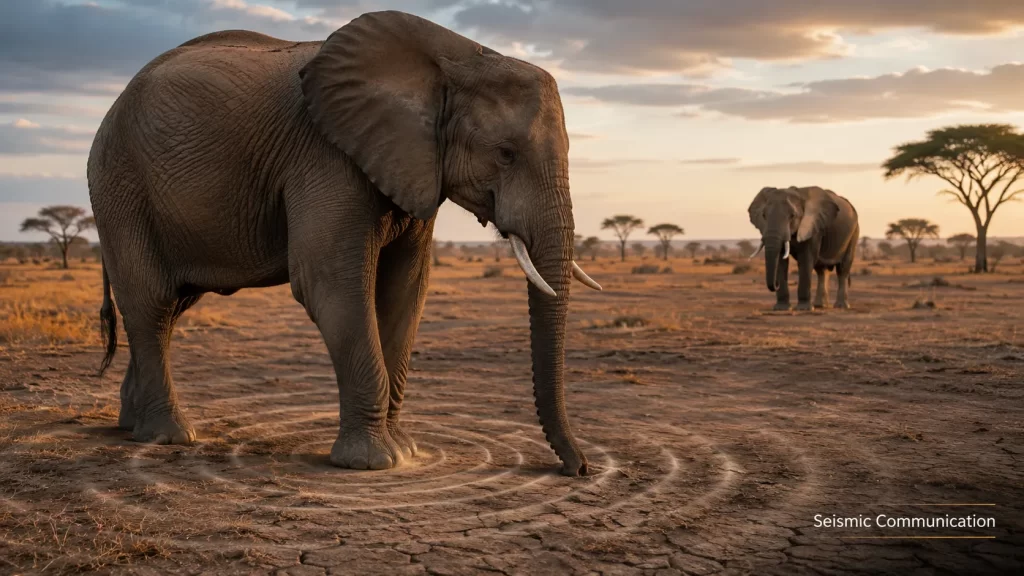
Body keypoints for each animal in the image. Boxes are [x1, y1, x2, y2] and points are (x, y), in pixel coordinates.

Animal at [87, 11, 602, 476]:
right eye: (506, 153)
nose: (579, 470)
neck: (457, 58)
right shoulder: (325, 156)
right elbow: (333, 286)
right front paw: (374, 462)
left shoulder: (411, 164)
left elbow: (405, 291)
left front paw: (405, 451)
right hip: (120, 186)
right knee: (152, 302)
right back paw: (169, 436)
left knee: (170, 306)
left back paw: (131, 425)